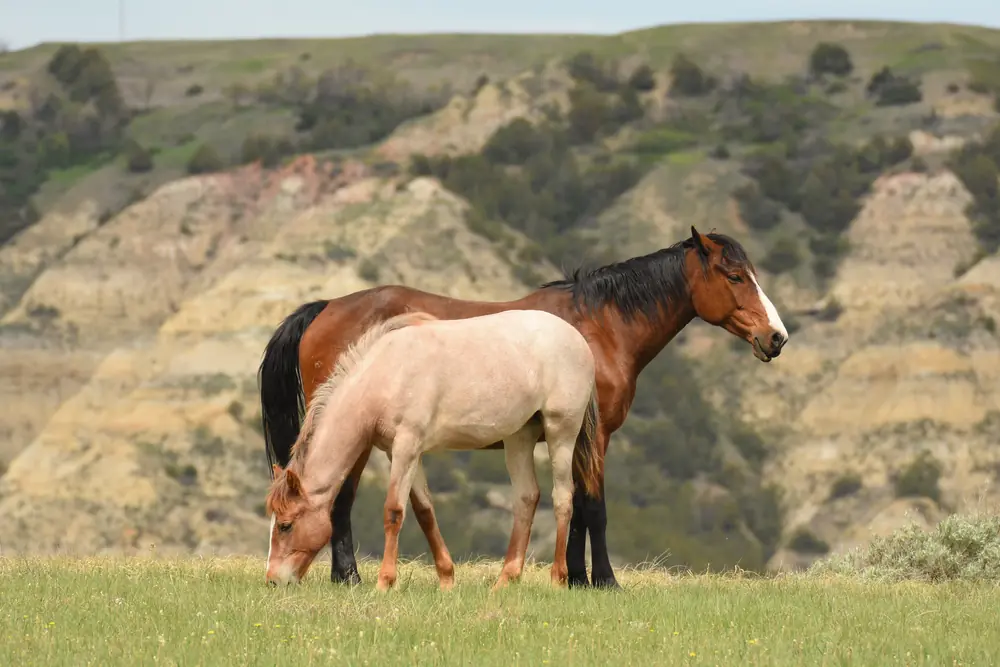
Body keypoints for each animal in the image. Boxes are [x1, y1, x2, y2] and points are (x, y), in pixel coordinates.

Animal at [264, 309, 602, 591]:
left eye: (285, 525)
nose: (273, 581)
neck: (387, 373)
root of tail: (576, 337)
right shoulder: (401, 452)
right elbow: (424, 511)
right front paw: (446, 579)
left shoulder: (407, 446)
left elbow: (394, 511)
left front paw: (385, 582)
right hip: (520, 436)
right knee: (526, 497)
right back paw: (505, 580)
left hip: (561, 432)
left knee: (563, 498)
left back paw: (557, 580)